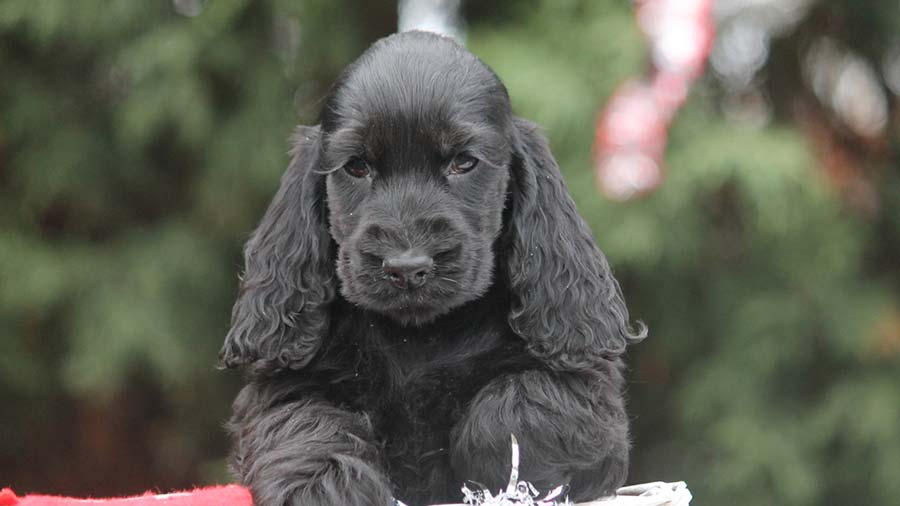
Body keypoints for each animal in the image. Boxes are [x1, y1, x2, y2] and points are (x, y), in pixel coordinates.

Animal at [223, 30, 648, 506]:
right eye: (357, 166)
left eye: (463, 162)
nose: (407, 267)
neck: (420, 335)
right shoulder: (279, 387)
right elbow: (308, 419)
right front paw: (322, 483)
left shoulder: (587, 393)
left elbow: (515, 405)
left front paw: (506, 479)